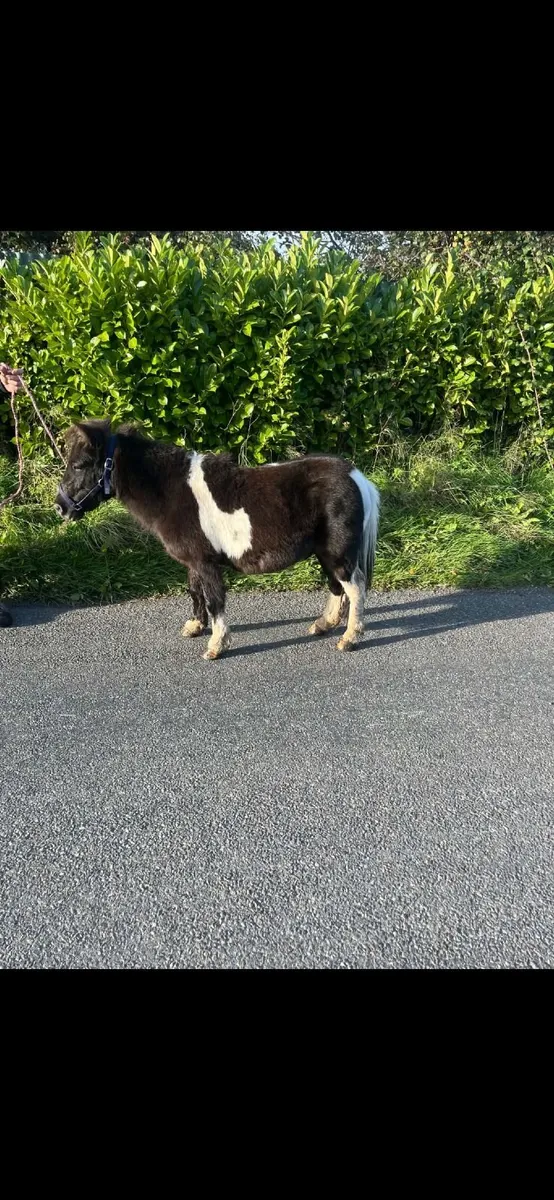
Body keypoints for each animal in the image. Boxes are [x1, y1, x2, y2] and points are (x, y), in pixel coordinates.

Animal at [55, 420, 380, 660]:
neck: (173, 492)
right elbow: (195, 592)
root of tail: (355, 476)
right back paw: (323, 625)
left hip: (338, 552)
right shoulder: (193, 562)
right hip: (326, 552)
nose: (60, 507)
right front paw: (195, 627)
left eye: (80, 465)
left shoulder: (206, 563)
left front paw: (216, 645)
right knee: (337, 586)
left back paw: (350, 638)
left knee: (355, 588)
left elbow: (214, 601)